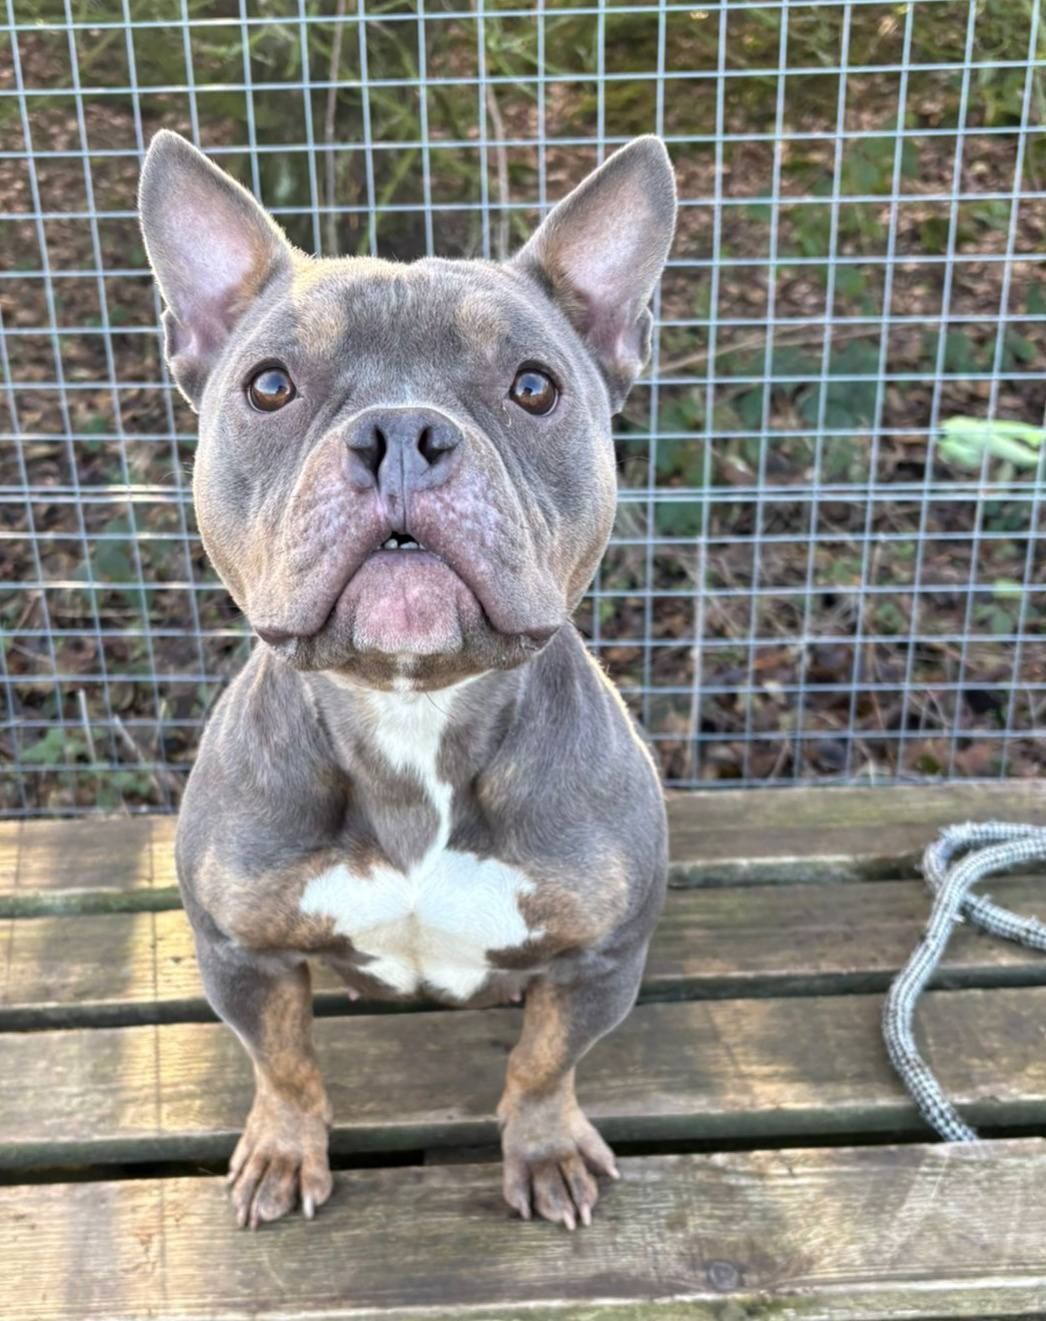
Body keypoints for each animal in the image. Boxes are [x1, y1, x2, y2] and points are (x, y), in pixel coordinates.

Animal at [139, 128, 675, 1231]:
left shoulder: (599, 961)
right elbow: (286, 1065)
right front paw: (282, 1148)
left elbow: (544, 1064)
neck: (410, 702)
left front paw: (544, 1147)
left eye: (533, 386)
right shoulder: (241, 954)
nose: (399, 433)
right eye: (268, 386)